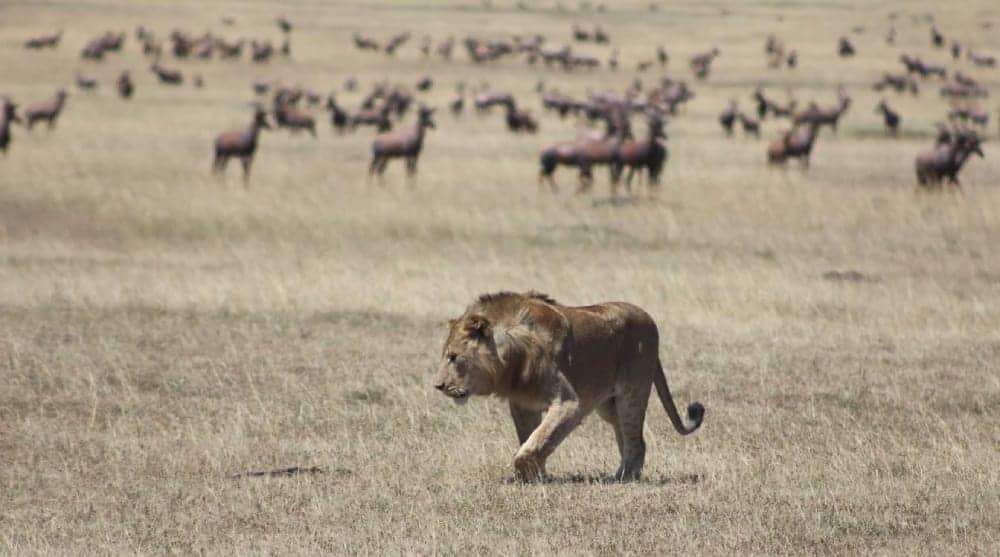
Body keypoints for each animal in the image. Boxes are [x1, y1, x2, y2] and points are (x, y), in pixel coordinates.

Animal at [434, 291, 704, 482]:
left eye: (453, 357)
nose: (438, 385)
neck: (510, 358)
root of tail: (649, 319)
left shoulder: (570, 403)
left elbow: (538, 441)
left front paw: (527, 475)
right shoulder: (522, 404)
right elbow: (530, 437)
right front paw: (538, 476)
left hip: (632, 393)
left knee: (635, 440)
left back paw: (624, 477)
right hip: (609, 405)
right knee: (629, 437)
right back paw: (624, 473)